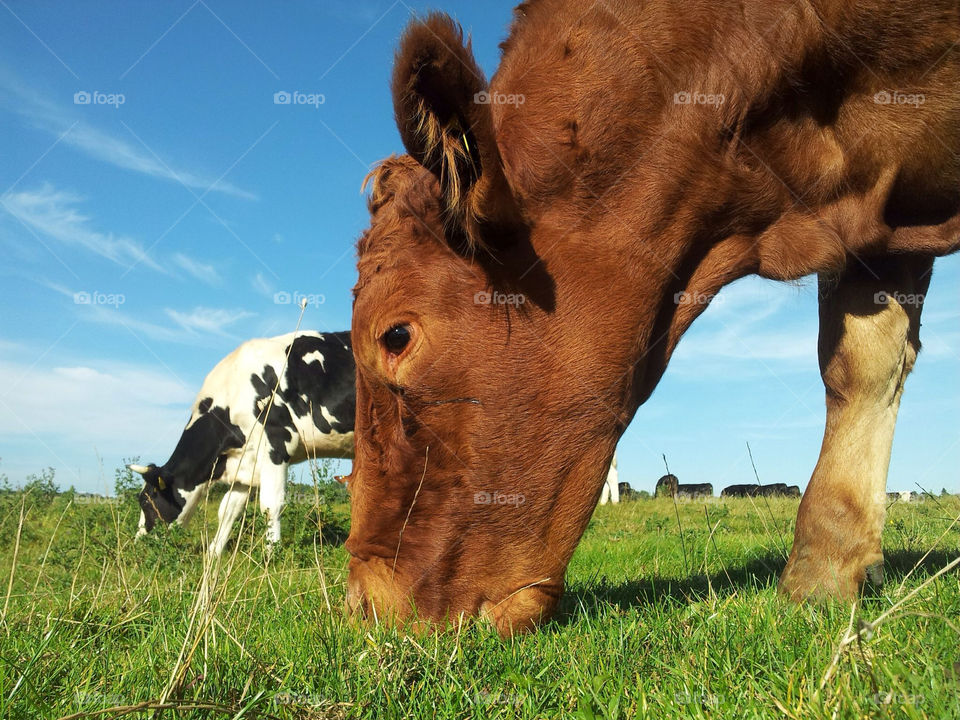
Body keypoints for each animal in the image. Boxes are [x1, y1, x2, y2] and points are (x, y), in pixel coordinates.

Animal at [130, 331, 354, 555]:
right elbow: (228, 509)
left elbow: (271, 504)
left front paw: (271, 553)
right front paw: (213, 553)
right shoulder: (245, 461)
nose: (139, 544)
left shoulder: (278, 442)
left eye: (146, 502)